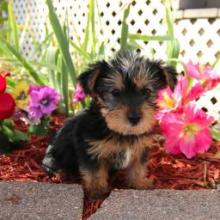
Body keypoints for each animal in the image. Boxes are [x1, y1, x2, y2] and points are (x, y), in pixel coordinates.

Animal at [42, 50, 177, 199]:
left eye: (146, 91)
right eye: (115, 92)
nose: (135, 118)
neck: (121, 132)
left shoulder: (141, 146)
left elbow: (138, 166)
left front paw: (140, 183)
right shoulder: (91, 149)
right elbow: (95, 172)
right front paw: (97, 191)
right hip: (52, 157)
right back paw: (62, 173)